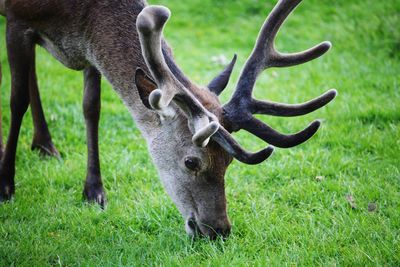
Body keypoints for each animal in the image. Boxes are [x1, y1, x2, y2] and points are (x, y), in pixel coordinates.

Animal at [0, 0, 336, 240]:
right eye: (191, 161)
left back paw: (45, 144)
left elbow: (91, 108)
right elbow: (16, 101)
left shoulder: (90, 50)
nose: (219, 231)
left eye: (228, 161)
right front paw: (6, 186)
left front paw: (94, 192)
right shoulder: (17, 20)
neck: (77, 17)